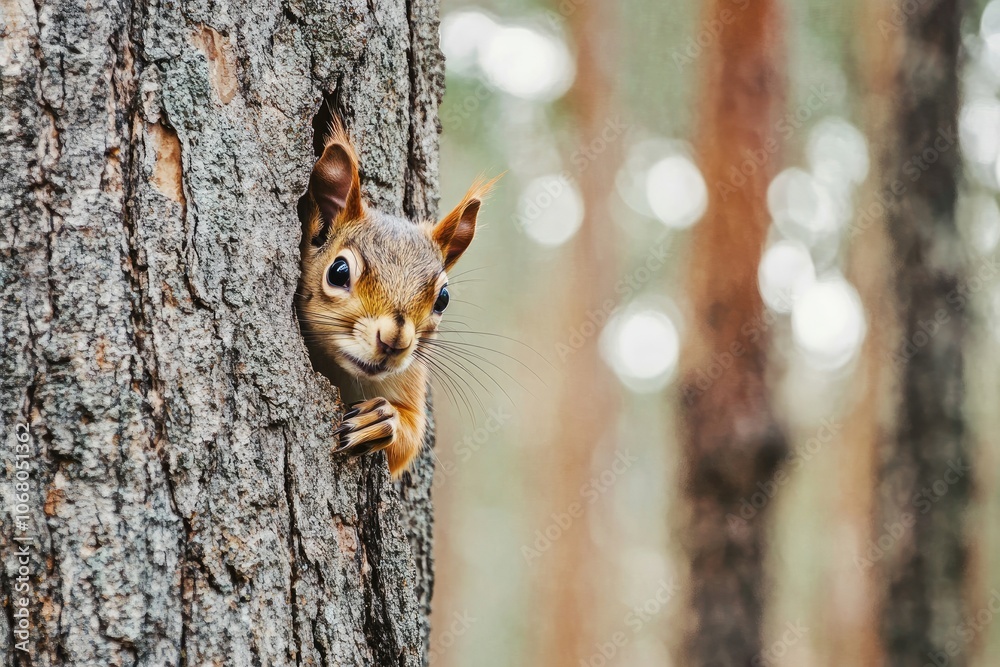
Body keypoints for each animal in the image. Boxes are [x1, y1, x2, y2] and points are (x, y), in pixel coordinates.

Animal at [296, 120, 495, 478]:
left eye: (443, 299)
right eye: (338, 272)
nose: (395, 341)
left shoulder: (412, 374)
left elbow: (410, 439)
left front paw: (380, 422)